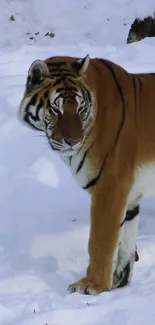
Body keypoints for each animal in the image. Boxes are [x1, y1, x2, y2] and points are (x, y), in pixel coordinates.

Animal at [17, 53, 155, 294]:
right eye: (56, 110)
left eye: (80, 108)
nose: (74, 142)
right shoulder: (130, 196)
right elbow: (126, 243)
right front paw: (118, 283)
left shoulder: (110, 186)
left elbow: (100, 241)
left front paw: (93, 285)